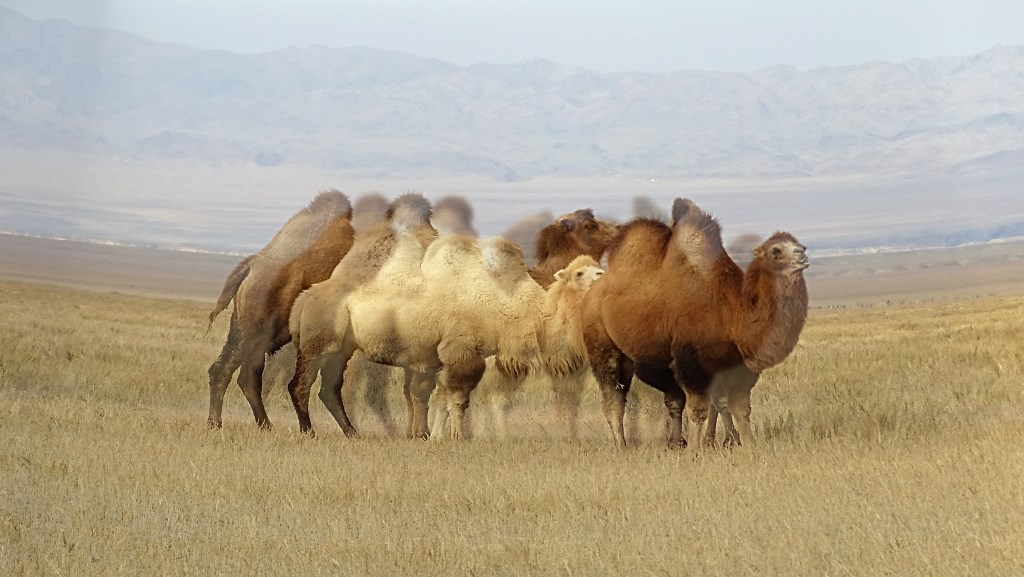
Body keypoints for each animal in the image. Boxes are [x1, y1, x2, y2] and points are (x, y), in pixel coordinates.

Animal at [203, 189, 356, 428]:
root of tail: (251, 268)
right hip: (254, 329)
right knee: (225, 370)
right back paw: (216, 424)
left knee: (248, 376)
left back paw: (267, 426)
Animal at [286, 191, 438, 436]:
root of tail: (302, 301)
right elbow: (420, 390)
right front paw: (422, 434)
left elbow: (409, 391)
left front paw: (413, 434)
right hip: (319, 343)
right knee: (301, 384)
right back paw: (309, 431)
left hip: (339, 348)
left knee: (328, 388)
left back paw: (352, 432)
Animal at [585, 200, 806, 448]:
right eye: (775, 251)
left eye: (798, 244)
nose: (802, 253)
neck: (730, 311)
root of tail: (592, 293)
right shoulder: (692, 362)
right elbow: (699, 409)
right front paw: (696, 449)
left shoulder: (738, 366)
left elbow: (740, 408)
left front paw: (748, 444)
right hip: (602, 347)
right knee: (614, 398)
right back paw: (622, 446)